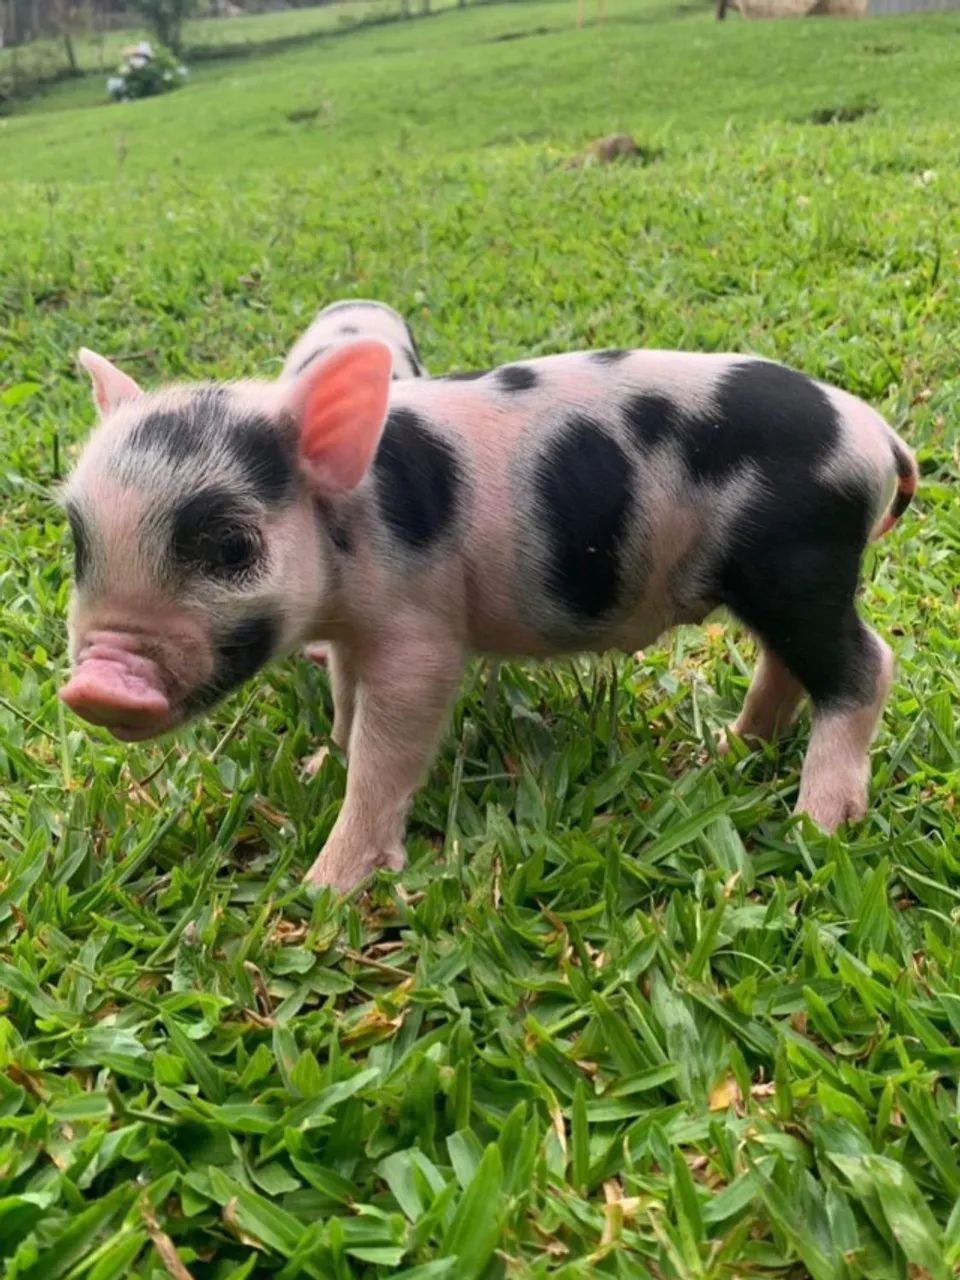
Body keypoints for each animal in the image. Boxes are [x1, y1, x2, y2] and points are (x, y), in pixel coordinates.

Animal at [59, 341, 917, 893]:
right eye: (76, 540)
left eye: (232, 547)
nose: (96, 685)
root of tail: (876, 435)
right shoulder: (353, 631)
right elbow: (344, 700)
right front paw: (315, 764)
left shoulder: (420, 630)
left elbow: (392, 742)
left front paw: (324, 889)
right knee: (789, 661)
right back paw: (727, 751)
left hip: (796, 556)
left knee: (863, 665)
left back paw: (818, 824)